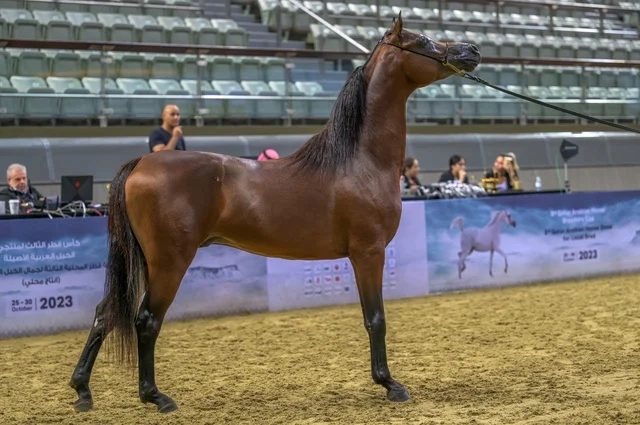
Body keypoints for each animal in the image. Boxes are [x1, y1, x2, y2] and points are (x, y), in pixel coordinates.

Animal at [68, 13, 481, 414]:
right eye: (423, 41)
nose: (472, 50)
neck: (360, 162)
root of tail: (141, 163)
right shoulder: (369, 253)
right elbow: (375, 319)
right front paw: (390, 384)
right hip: (168, 262)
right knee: (146, 320)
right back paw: (155, 396)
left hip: (142, 260)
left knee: (106, 312)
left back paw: (83, 391)